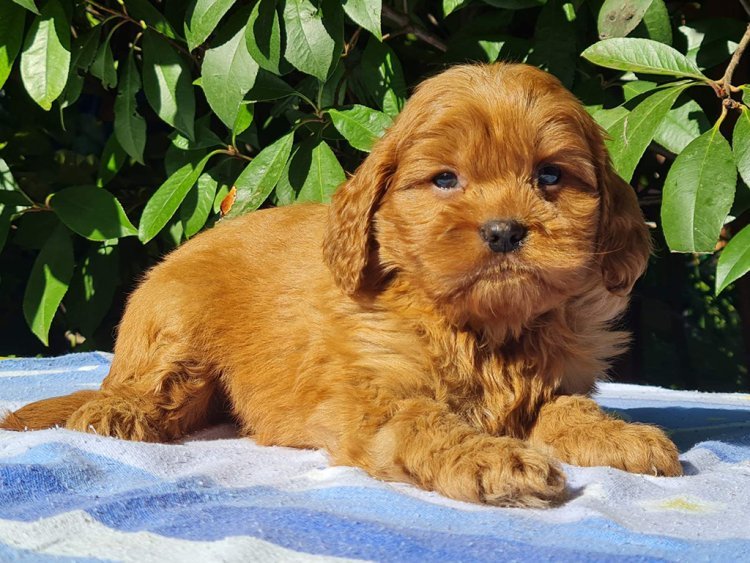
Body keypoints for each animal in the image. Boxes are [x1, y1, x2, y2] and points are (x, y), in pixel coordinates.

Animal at [0, 64, 680, 508]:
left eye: (550, 176)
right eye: (445, 179)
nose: (504, 230)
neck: (482, 329)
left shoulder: (556, 383)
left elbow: (570, 408)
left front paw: (621, 437)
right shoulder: (374, 397)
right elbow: (429, 423)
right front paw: (494, 459)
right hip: (175, 324)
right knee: (151, 390)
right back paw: (115, 411)